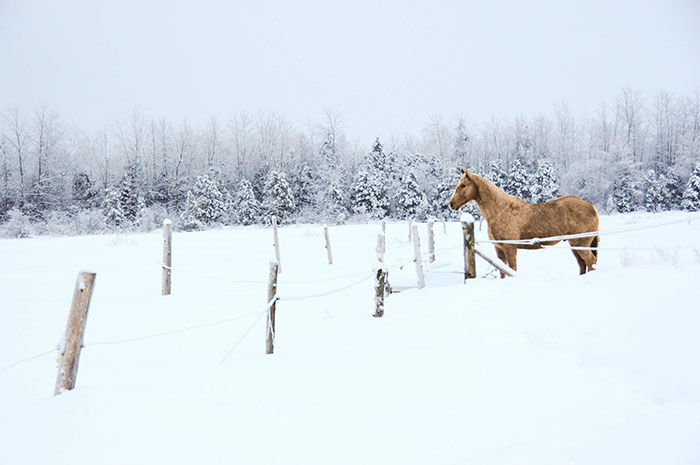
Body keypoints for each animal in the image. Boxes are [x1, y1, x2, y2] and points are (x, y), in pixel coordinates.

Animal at [448, 168, 599, 277]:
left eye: (463, 185)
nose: (451, 204)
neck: (501, 210)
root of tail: (592, 208)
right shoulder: (499, 249)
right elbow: (503, 272)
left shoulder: (510, 248)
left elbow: (512, 269)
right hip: (574, 244)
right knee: (583, 265)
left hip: (581, 244)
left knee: (591, 262)